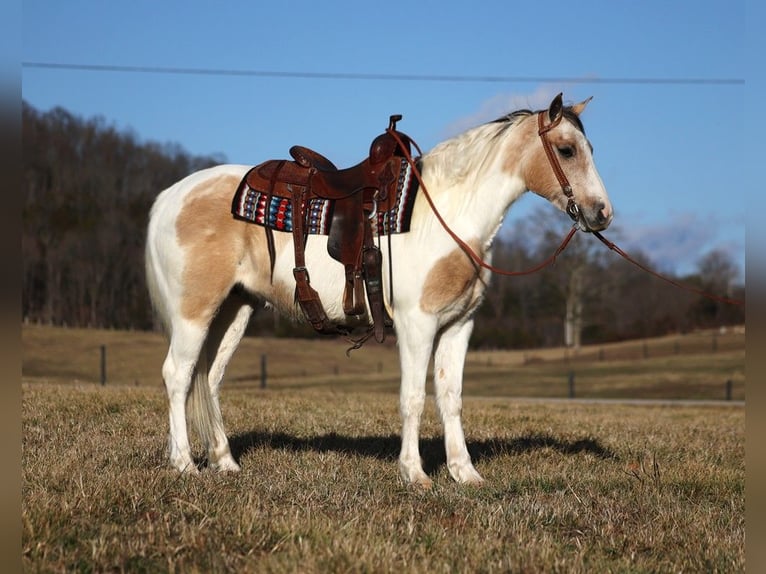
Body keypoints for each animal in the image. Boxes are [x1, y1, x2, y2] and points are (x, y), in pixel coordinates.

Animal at [142, 92, 612, 488]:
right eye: (567, 150)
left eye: (591, 149)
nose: (601, 213)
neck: (448, 215)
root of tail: (170, 196)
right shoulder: (416, 325)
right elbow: (413, 399)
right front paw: (415, 474)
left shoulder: (458, 327)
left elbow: (451, 399)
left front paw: (464, 473)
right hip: (194, 311)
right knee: (177, 375)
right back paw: (183, 463)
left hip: (235, 310)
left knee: (210, 379)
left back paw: (225, 461)